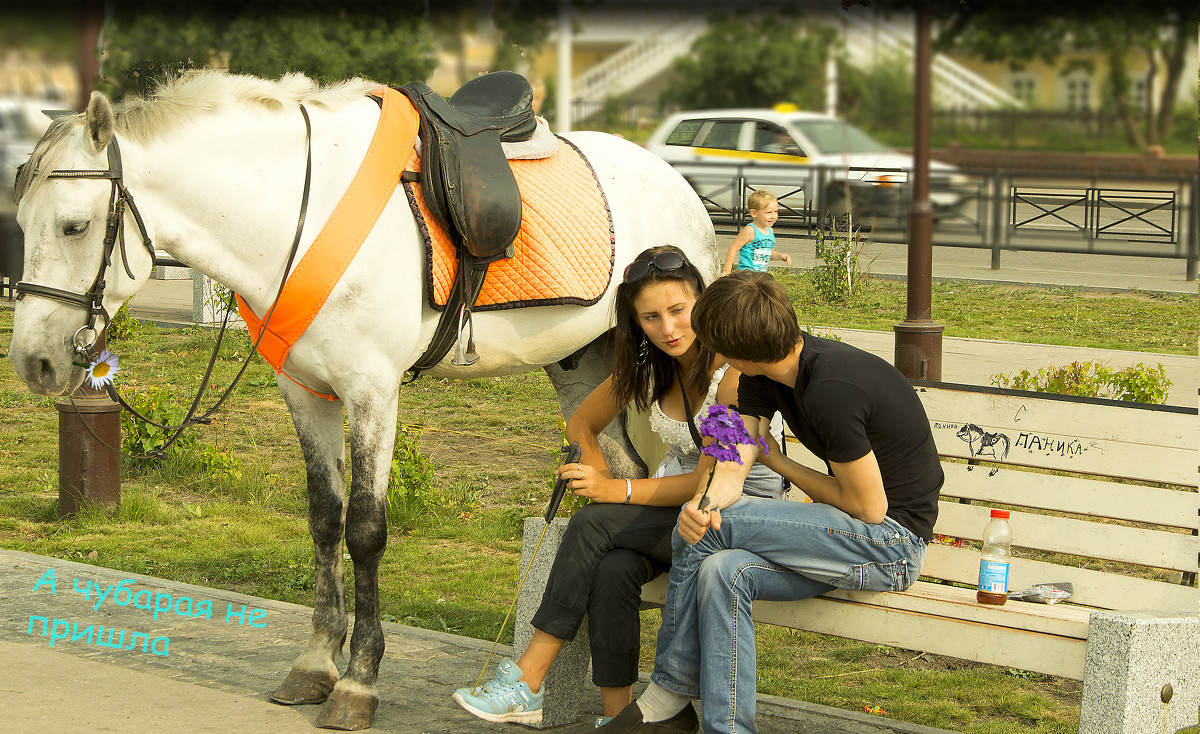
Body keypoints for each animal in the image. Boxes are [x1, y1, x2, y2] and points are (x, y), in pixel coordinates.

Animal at [7, 71, 710, 729]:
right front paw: (317, 662)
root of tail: (679, 186)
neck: (298, 214)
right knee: (627, 473)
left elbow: (366, 530)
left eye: (74, 226)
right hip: (583, 370)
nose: (33, 361)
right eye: (20, 222)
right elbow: (325, 518)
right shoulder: (306, 393)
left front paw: (358, 680)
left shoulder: (372, 391)